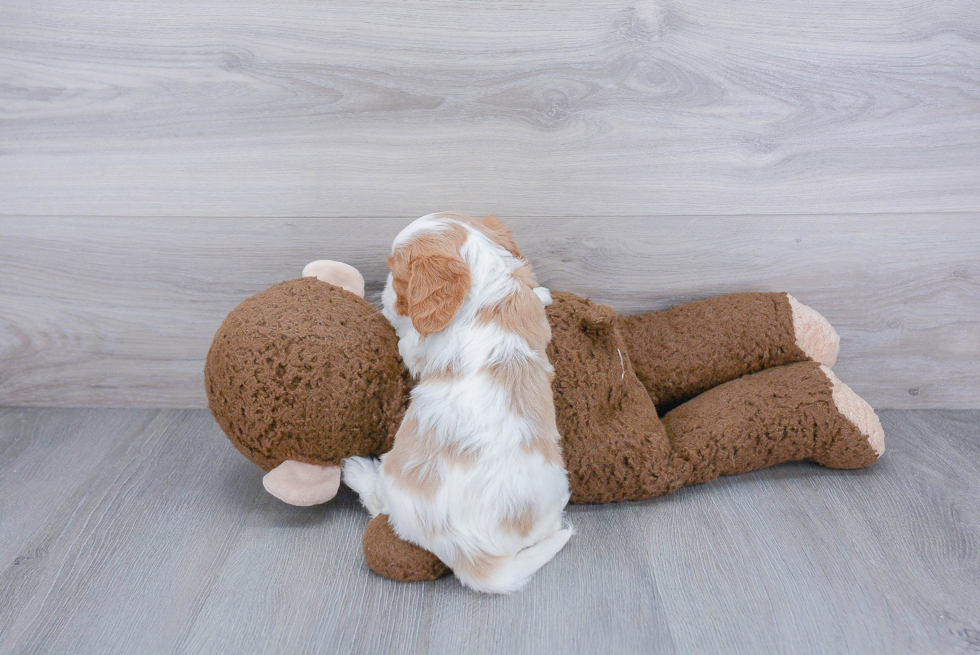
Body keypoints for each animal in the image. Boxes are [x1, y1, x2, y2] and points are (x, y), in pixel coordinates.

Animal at [344, 211, 576, 596]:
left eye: (398, 275)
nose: (386, 291)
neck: (487, 282)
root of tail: (463, 546)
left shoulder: (417, 350)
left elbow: (406, 339)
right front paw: (543, 293)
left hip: (394, 478)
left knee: (379, 505)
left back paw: (357, 471)